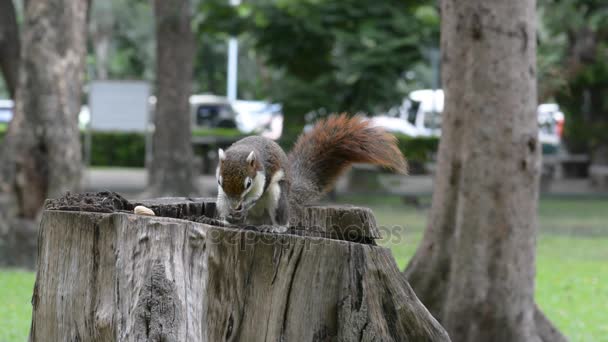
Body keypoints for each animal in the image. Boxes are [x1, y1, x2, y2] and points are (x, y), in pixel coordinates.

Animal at [215, 113, 408, 231]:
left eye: (248, 183)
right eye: (220, 182)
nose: (235, 205)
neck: (244, 150)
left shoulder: (264, 175)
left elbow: (255, 195)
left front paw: (245, 205)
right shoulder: (223, 192)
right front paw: (232, 212)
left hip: (278, 197)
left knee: (282, 219)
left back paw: (275, 227)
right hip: (221, 201)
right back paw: (227, 221)